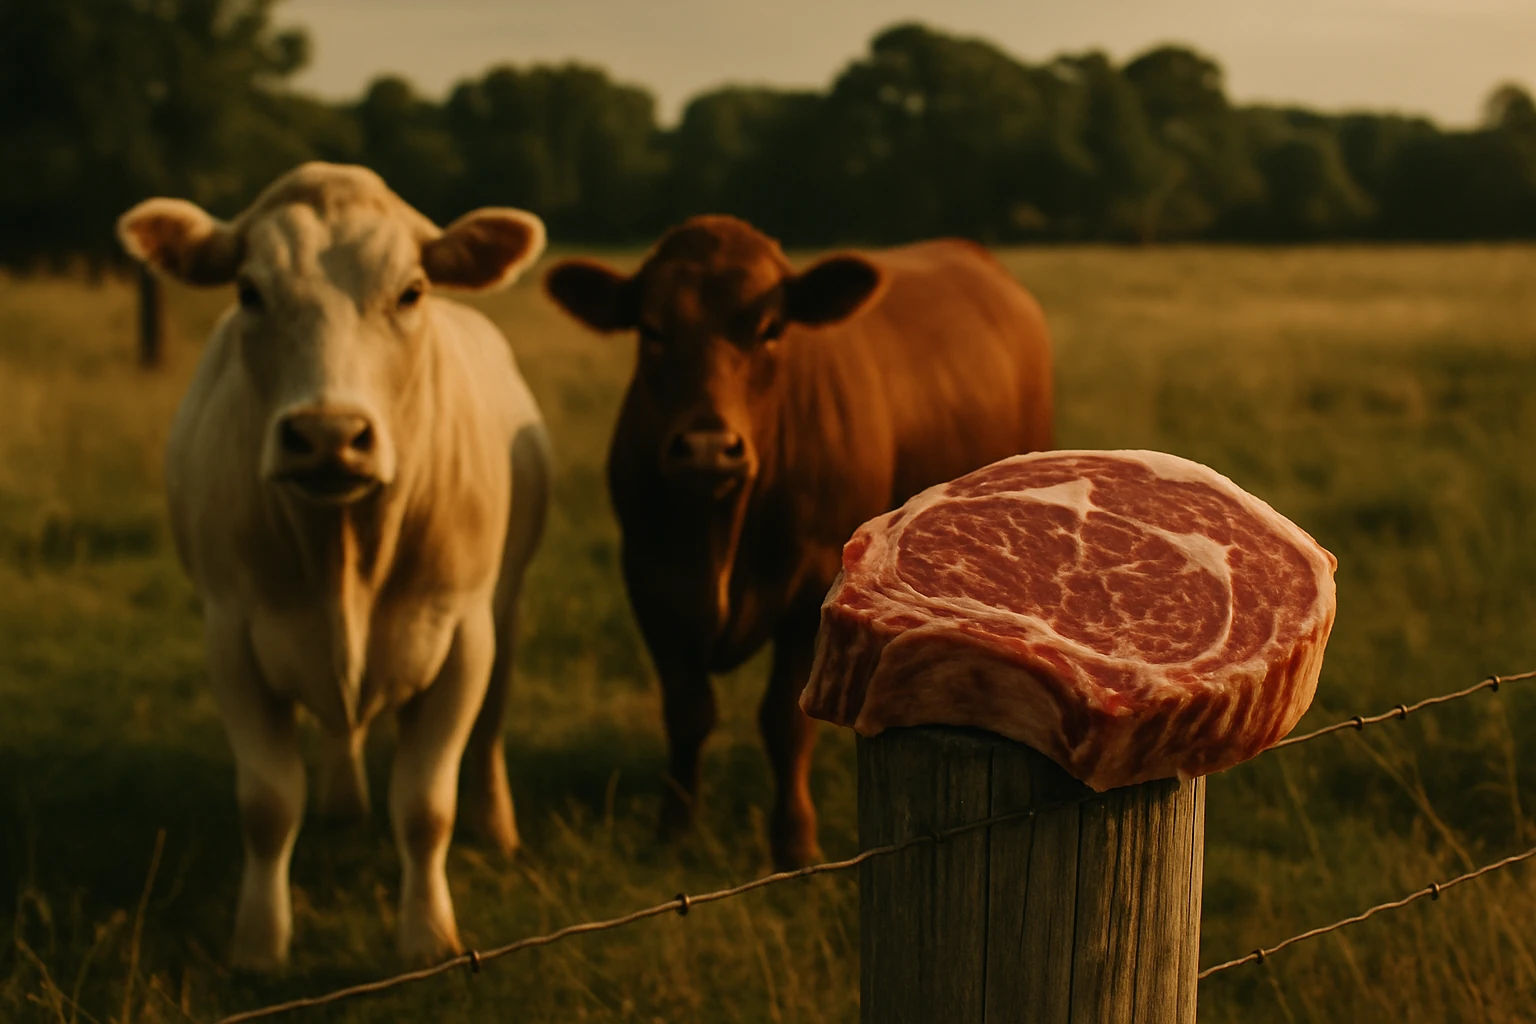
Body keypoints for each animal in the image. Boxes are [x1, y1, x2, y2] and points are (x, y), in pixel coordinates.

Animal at [116, 162, 552, 968]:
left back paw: (496, 826)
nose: (328, 434)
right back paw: (343, 803)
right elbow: (267, 802)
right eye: (249, 291)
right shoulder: (231, 633)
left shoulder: (463, 633)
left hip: (506, 607)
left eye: (410, 291)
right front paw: (259, 942)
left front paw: (427, 935)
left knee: (488, 733)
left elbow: (426, 804)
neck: (344, 548)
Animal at [544, 216, 1052, 869]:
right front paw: (673, 831)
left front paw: (794, 842)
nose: (707, 447)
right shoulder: (648, 582)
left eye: (770, 329)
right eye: (652, 330)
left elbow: (784, 720)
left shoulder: (811, 585)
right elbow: (686, 710)